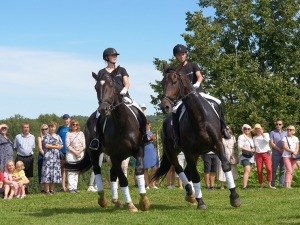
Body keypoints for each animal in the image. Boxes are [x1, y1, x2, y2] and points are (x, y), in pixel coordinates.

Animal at [66, 71, 150, 213]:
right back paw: (102, 199)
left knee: (111, 173)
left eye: (112, 85)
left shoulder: (138, 151)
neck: (122, 124)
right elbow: (123, 179)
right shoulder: (115, 156)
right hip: (95, 153)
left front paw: (143, 201)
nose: (103, 109)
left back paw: (116, 201)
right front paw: (130, 205)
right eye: (95, 87)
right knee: (97, 170)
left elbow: (138, 171)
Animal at [155, 67, 241, 208]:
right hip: (172, 152)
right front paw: (200, 202)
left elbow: (225, 166)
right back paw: (190, 193)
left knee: (186, 171)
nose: (164, 106)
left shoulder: (218, 145)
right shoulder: (188, 152)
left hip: (195, 155)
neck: (199, 117)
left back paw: (190, 195)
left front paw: (234, 197)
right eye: (162, 83)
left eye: (174, 82)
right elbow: (195, 176)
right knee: (180, 170)